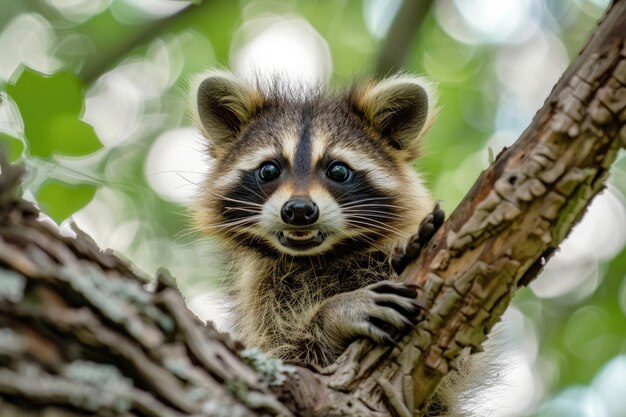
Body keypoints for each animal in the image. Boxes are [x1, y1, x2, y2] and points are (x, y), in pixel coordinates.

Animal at [190, 71, 438, 368]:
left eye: (338, 170)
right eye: (269, 170)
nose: (299, 209)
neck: (317, 258)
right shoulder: (261, 294)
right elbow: (286, 350)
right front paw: (334, 313)